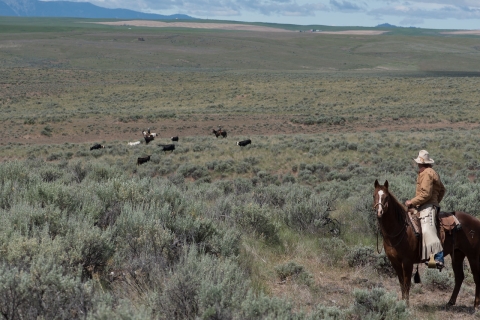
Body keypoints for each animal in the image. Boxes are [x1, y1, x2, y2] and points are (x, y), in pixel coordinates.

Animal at [376, 180, 480, 308]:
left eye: (386, 197)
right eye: (374, 196)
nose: (379, 212)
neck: (400, 229)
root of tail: (476, 221)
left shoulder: (407, 262)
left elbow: (406, 283)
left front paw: (406, 305)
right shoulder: (395, 262)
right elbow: (401, 283)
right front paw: (402, 302)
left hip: (473, 256)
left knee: (476, 277)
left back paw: (476, 305)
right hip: (458, 254)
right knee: (459, 277)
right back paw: (450, 302)